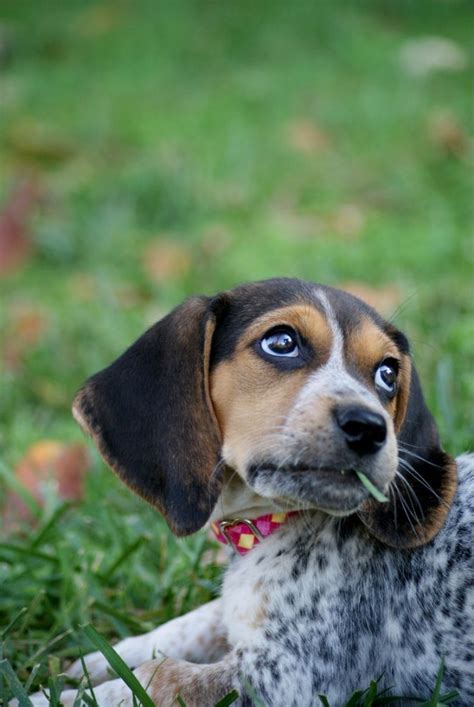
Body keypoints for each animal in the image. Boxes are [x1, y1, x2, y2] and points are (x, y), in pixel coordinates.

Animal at [31, 280, 472, 704]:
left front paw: (49, 698)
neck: (273, 523)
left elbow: (157, 677)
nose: (368, 427)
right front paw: (102, 657)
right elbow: (193, 622)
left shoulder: (289, 675)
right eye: (281, 342)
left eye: (388, 373)